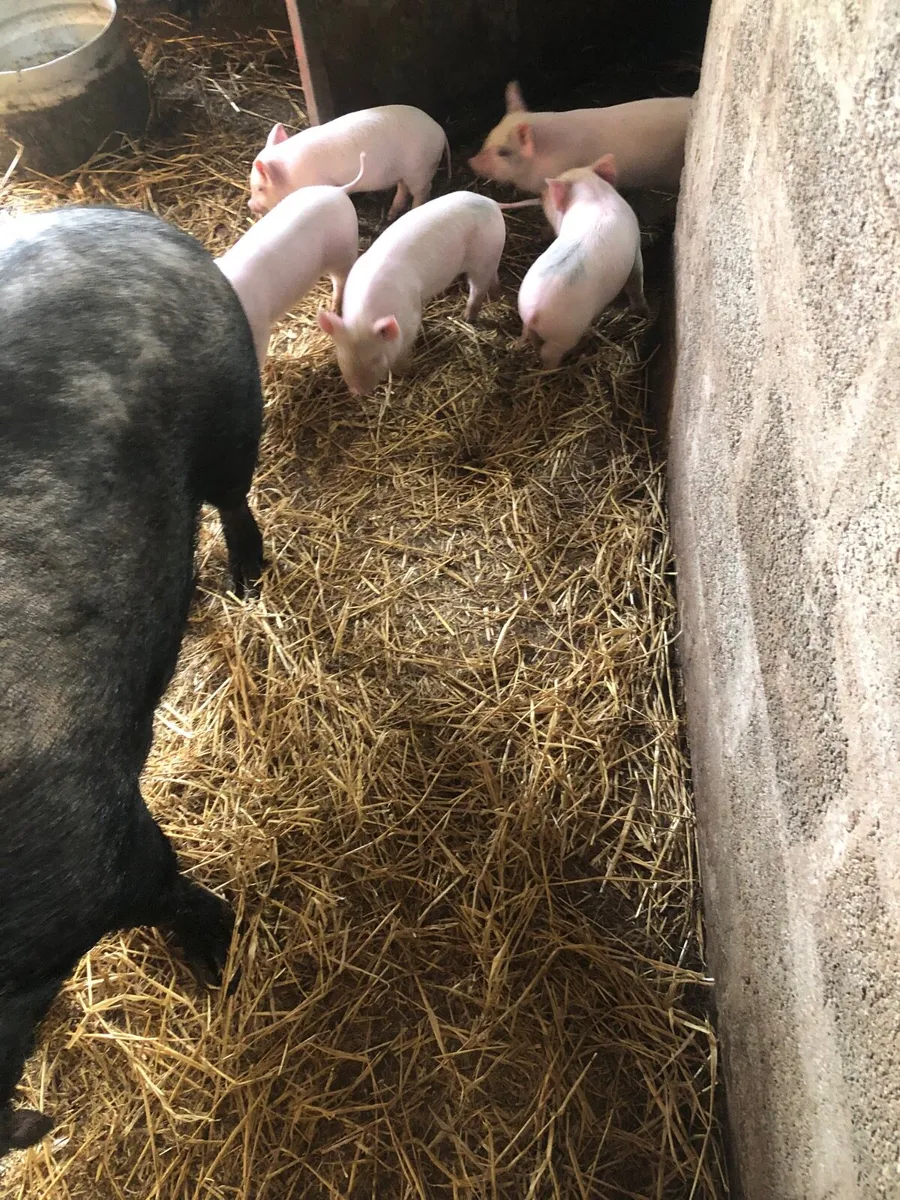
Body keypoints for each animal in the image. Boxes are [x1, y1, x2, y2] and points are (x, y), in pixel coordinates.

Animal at [0, 204, 265, 1156]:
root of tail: (134, 219)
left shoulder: (99, 846)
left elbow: (169, 882)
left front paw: (224, 959)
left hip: (233, 409)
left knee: (234, 496)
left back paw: (251, 581)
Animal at [248, 105, 450, 218]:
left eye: (260, 188)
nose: (250, 205)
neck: (289, 175)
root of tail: (440, 130)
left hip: (421, 169)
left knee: (423, 192)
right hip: (406, 172)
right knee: (403, 188)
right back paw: (390, 216)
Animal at [315, 190, 506, 396]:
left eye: (376, 358)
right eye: (341, 356)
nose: (358, 392)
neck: (363, 319)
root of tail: (492, 202)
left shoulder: (411, 318)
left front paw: (403, 372)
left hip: (484, 256)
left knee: (478, 289)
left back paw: (467, 318)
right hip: (490, 257)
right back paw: (495, 295)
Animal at [516, 154, 648, 369]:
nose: (541, 194)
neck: (594, 194)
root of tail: (532, 313)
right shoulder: (636, 249)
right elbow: (636, 281)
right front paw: (642, 310)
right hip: (565, 333)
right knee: (549, 354)